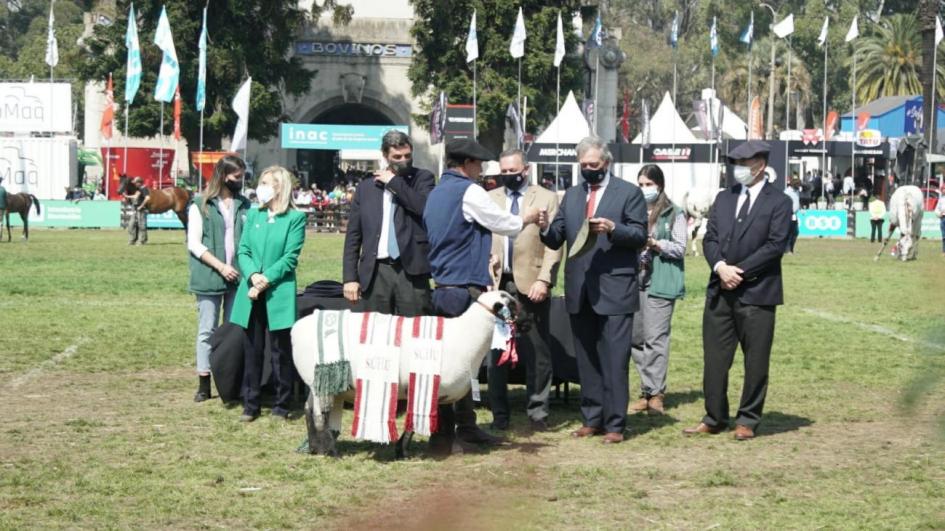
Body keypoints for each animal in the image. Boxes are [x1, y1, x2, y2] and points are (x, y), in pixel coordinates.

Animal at [292, 288, 520, 460]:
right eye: (511, 303)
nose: (526, 320)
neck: (468, 335)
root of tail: (295, 329)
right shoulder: (427, 386)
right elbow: (420, 421)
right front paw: (406, 450)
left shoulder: (437, 390)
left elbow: (435, 419)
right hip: (320, 381)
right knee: (319, 416)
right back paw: (330, 451)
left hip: (313, 383)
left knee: (307, 410)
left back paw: (314, 448)